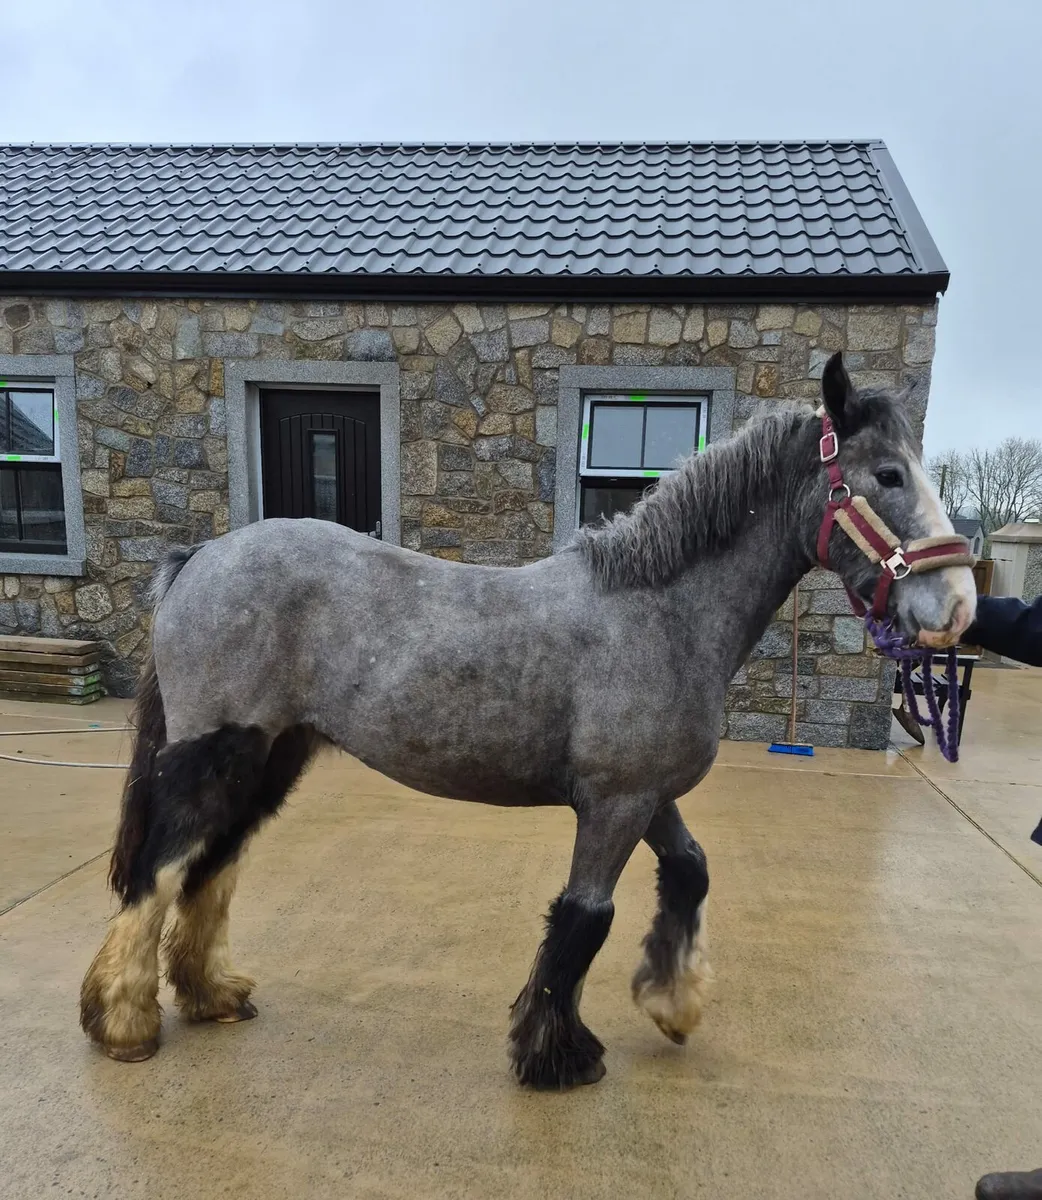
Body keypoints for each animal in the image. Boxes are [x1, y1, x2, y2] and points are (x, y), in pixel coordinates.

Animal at [79, 352, 976, 1088]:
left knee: (206, 869)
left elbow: (689, 873)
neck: (659, 612)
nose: (958, 606)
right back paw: (122, 1025)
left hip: (268, 759)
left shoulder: (647, 795)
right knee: (160, 871)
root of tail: (198, 558)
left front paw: (671, 1003)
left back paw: (209, 997)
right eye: (889, 474)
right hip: (217, 755)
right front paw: (558, 1056)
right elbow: (584, 919)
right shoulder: (615, 803)